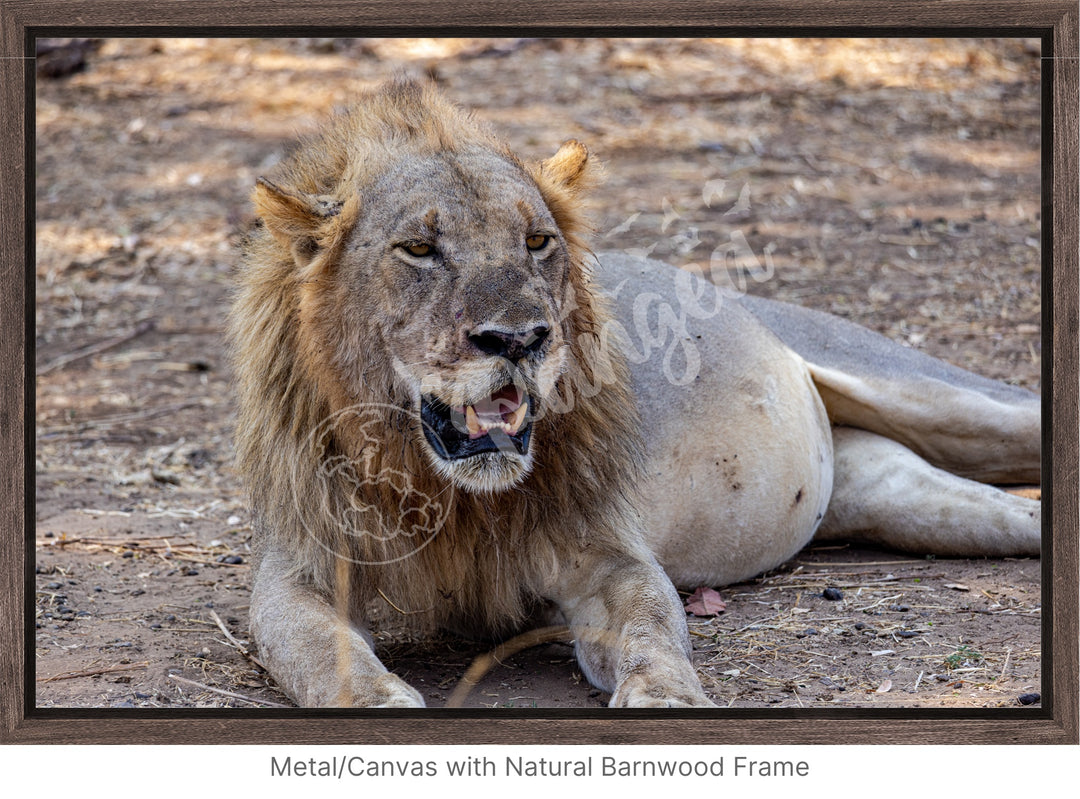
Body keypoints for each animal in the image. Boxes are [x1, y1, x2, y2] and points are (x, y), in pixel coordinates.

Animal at [230, 78, 1045, 708]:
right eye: (420, 250)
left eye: (536, 241)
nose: (520, 339)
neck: (453, 496)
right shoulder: (300, 568)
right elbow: (319, 649)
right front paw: (378, 699)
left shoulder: (607, 553)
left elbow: (652, 624)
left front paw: (668, 694)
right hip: (907, 499)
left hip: (938, 396)